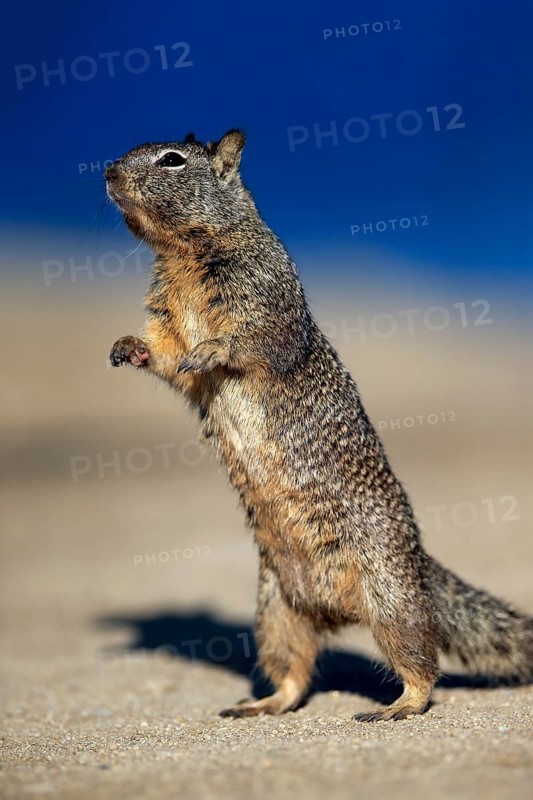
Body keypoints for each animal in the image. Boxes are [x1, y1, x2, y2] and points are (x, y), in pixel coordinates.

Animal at [106, 129, 533, 722]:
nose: (106, 172)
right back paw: (262, 704)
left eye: (172, 159)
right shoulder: (166, 316)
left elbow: (250, 339)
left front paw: (210, 349)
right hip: (276, 612)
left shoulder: (265, 294)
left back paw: (397, 706)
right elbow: (166, 356)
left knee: (422, 663)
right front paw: (127, 346)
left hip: (389, 594)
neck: (184, 254)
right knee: (295, 672)